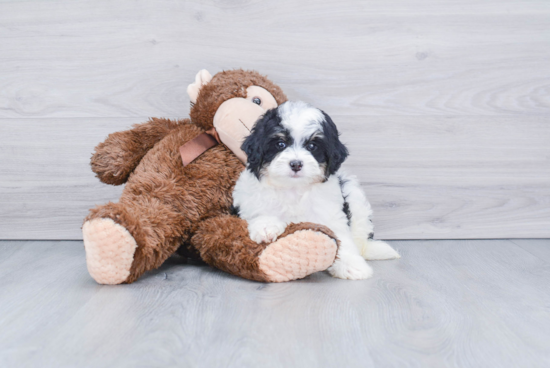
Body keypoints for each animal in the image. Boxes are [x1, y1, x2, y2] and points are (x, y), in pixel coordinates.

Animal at [233, 100, 402, 278]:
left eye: (312, 146)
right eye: (280, 144)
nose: (296, 164)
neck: (293, 188)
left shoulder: (331, 214)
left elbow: (342, 239)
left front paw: (351, 265)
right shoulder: (250, 199)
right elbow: (261, 211)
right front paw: (266, 227)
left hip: (354, 195)